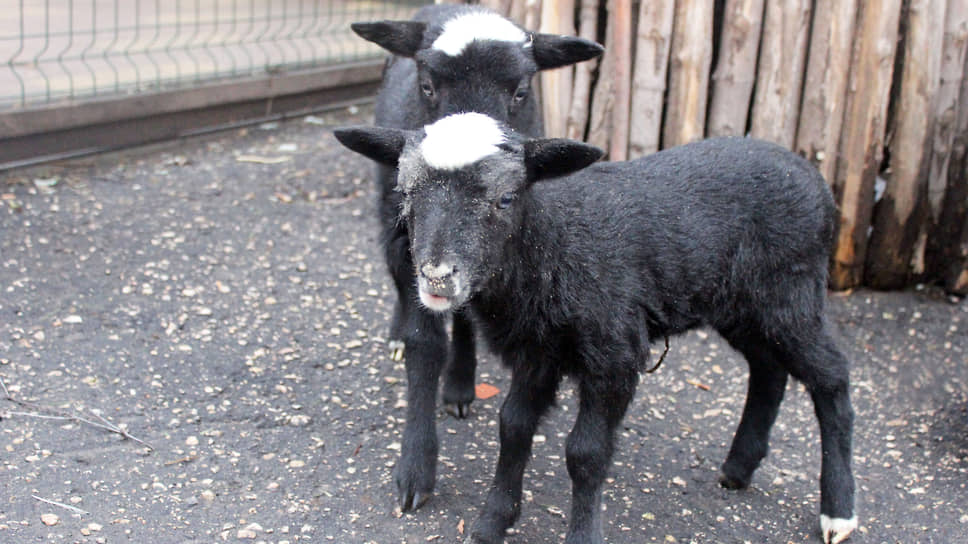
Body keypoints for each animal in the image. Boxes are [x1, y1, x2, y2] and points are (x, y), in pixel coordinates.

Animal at [332, 111, 856, 544]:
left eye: (505, 199)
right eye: (406, 194)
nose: (437, 277)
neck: (550, 243)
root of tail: (811, 174)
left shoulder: (614, 353)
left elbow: (584, 454)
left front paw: (580, 533)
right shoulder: (536, 351)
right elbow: (513, 427)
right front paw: (492, 523)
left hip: (792, 292)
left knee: (831, 379)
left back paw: (839, 511)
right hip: (743, 304)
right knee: (769, 369)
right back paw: (739, 467)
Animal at [348, 4, 604, 512]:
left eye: (522, 90)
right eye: (427, 85)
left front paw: (459, 382)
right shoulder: (409, 238)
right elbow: (425, 343)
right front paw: (416, 466)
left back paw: (461, 382)